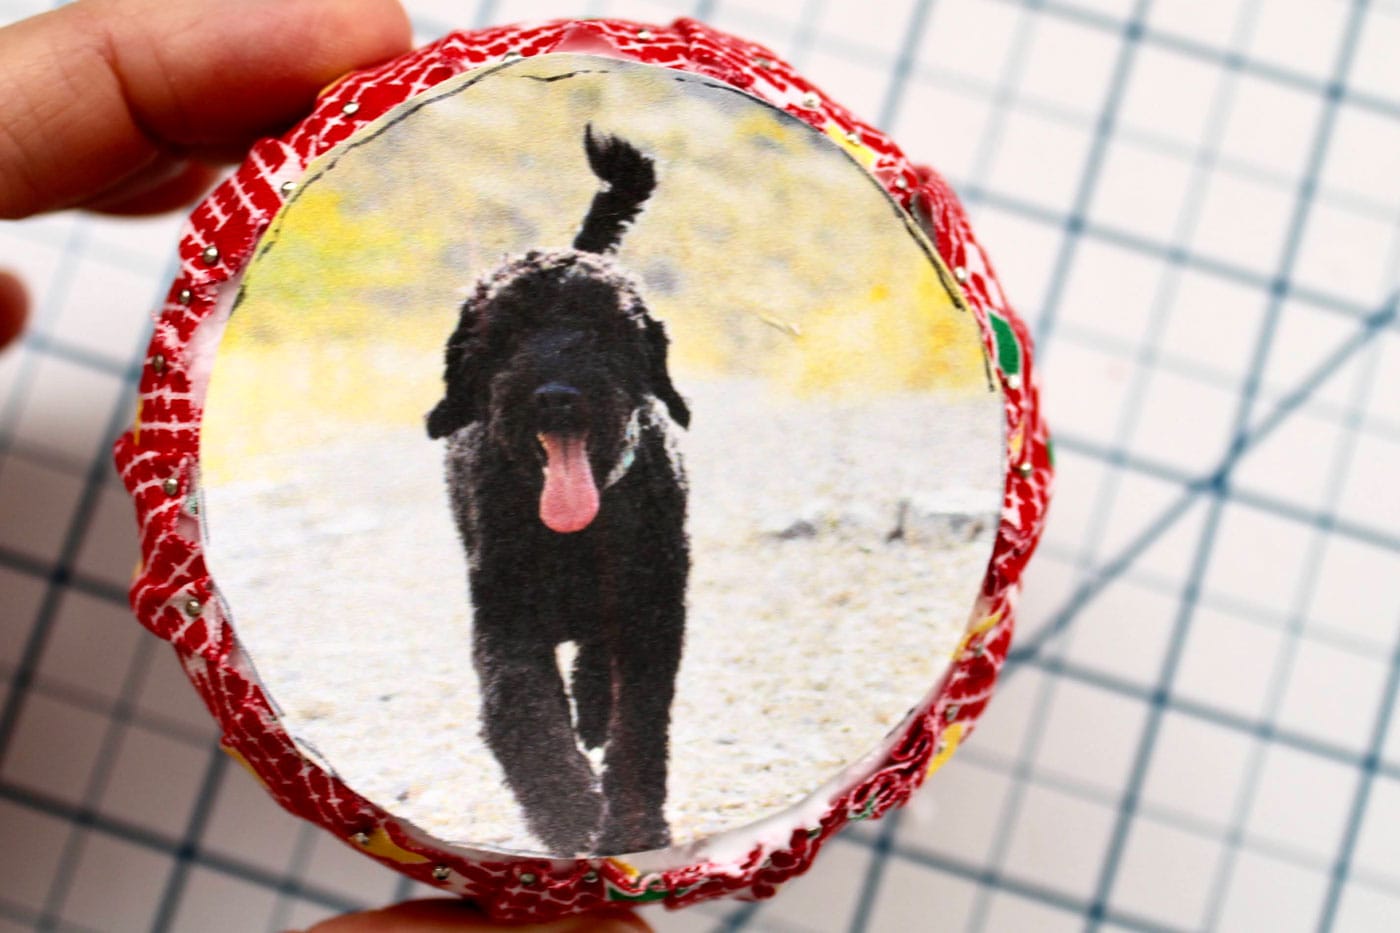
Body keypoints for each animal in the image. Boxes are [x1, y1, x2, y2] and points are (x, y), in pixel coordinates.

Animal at [425, 127, 688, 851]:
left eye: (604, 329)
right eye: (506, 333)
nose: (557, 395)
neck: (574, 533)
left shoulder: (654, 615)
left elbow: (640, 728)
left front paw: (631, 828)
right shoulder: (506, 625)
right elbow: (526, 718)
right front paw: (570, 814)